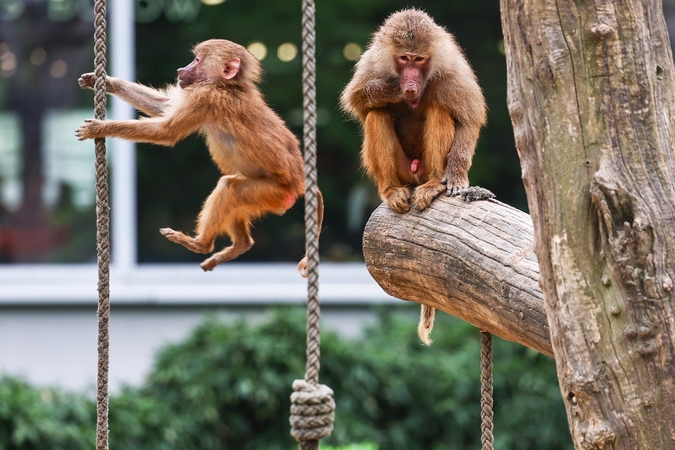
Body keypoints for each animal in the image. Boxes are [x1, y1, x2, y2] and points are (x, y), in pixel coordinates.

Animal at [76, 38, 324, 272]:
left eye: (196, 60)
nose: (180, 70)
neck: (227, 85)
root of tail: (299, 183)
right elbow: (163, 105)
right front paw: (106, 82)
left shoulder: (205, 97)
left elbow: (166, 131)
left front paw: (98, 128)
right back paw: (240, 245)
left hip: (273, 193)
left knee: (229, 189)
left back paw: (201, 244)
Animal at [340, 8, 488, 342]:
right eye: (404, 58)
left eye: (419, 60)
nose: (409, 79)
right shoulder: (373, 63)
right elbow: (357, 100)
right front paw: (392, 90)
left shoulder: (451, 70)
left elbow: (469, 118)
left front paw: (458, 177)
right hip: (402, 168)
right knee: (376, 114)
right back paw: (392, 190)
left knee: (439, 107)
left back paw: (433, 185)